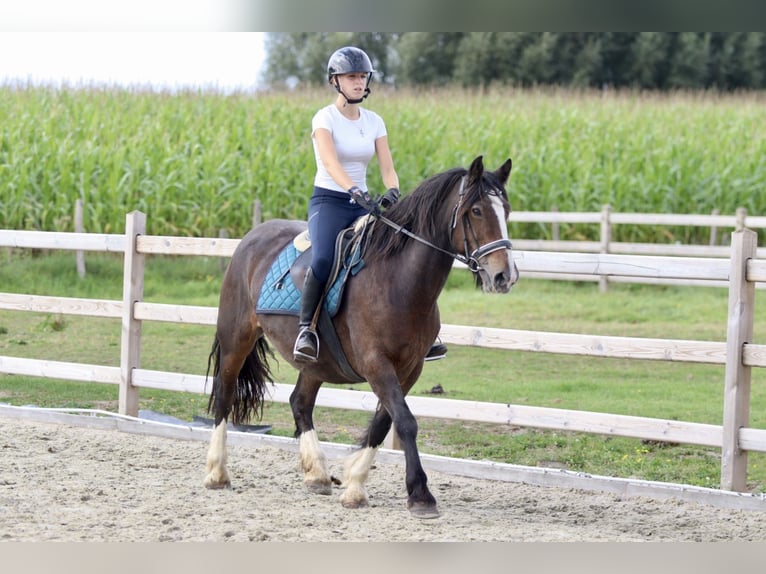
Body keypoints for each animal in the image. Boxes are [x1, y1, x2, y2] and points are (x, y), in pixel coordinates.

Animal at [202, 155, 520, 520]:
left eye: (506, 210)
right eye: (476, 211)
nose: (504, 276)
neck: (398, 281)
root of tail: (253, 236)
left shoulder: (409, 368)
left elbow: (385, 422)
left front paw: (354, 486)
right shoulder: (376, 364)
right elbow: (406, 421)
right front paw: (421, 495)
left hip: (316, 362)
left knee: (300, 402)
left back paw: (317, 474)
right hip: (236, 339)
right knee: (225, 394)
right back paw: (217, 472)